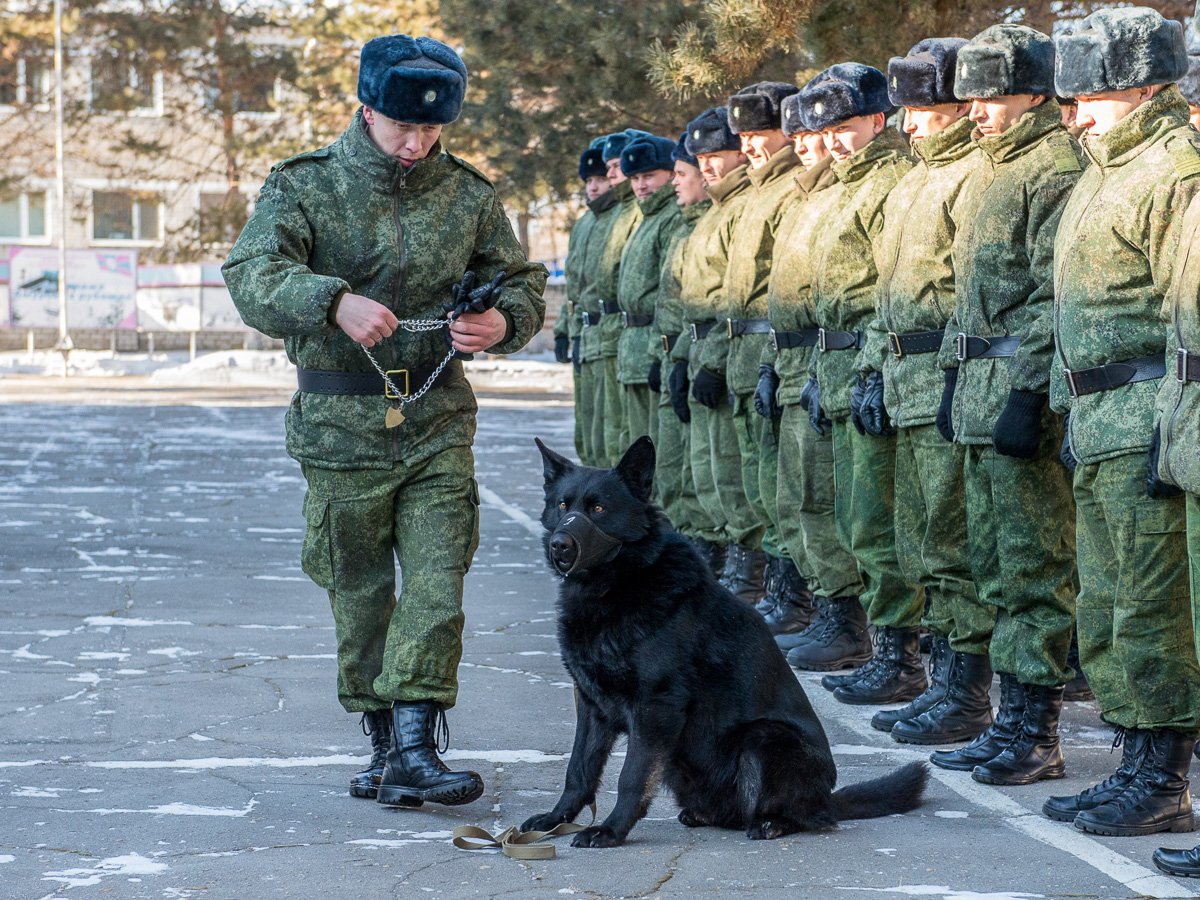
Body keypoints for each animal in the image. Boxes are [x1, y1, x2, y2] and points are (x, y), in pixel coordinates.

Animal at [523, 441, 926, 849]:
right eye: (563, 505)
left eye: (599, 509)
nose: (560, 544)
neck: (621, 582)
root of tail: (827, 796)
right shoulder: (592, 706)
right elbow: (579, 769)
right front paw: (557, 819)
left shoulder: (655, 708)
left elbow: (631, 778)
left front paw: (610, 829)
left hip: (764, 739)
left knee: (810, 816)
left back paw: (773, 822)